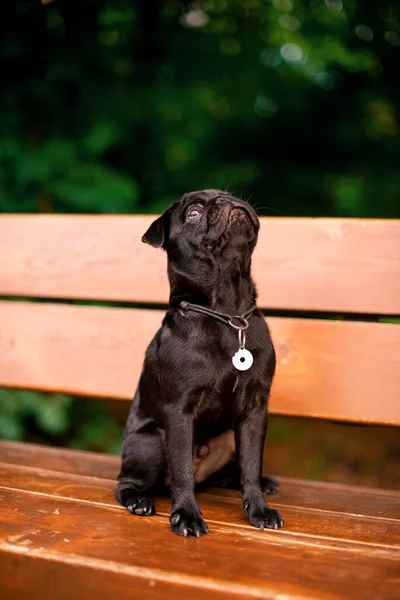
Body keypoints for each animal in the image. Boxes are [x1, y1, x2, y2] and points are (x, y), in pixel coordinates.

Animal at [115, 190, 284, 536]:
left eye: (229, 194)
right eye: (192, 212)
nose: (222, 200)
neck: (229, 313)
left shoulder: (255, 410)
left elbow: (251, 464)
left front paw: (259, 508)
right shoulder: (180, 411)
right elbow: (182, 471)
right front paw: (187, 515)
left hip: (230, 437)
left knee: (236, 470)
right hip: (151, 442)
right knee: (127, 482)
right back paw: (138, 500)